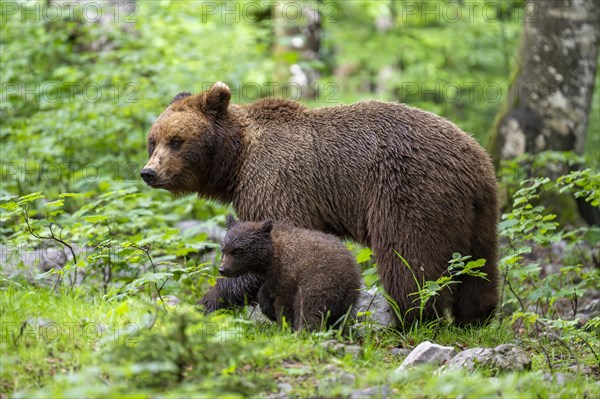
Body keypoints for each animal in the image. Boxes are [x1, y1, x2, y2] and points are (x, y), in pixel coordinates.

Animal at [143, 82, 500, 328]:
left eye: (176, 141)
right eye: (153, 140)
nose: (149, 172)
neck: (236, 160)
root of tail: (474, 162)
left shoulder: (275, 180)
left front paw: (204, 302)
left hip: (409, 191)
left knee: (410, 260)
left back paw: (408, 320)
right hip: (480, 213)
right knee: (479, 266)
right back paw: (475, 317)